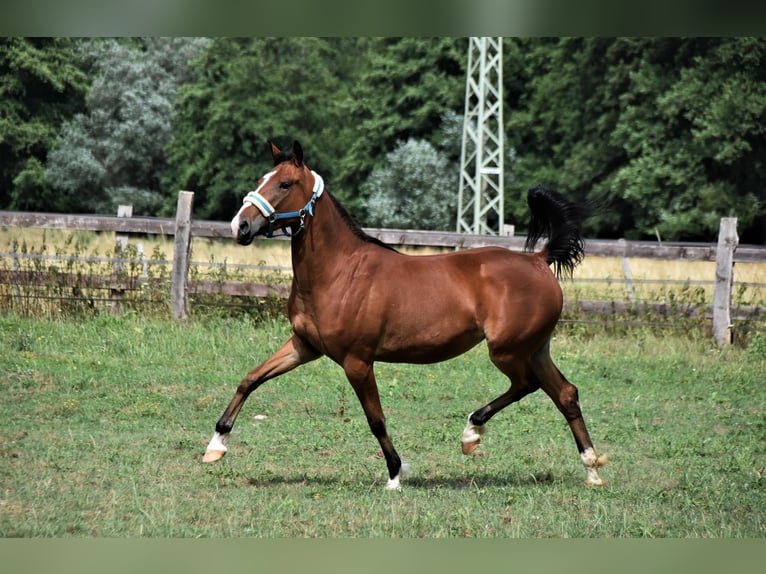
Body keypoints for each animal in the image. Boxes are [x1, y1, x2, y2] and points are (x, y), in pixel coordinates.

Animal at [202, 140, 607, 489]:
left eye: (285, 183)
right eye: (262, 180)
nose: (240, 226)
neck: (339, 273)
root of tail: (539, 260)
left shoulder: (357, 361)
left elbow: (376, 419)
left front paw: (396, 474)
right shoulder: (304, 347)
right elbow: (250, 379)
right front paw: (215, 445)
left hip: (507, 351)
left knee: (527, 385)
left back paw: (471, 433)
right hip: (535, 349)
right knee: (565, 394)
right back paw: (591, 469)